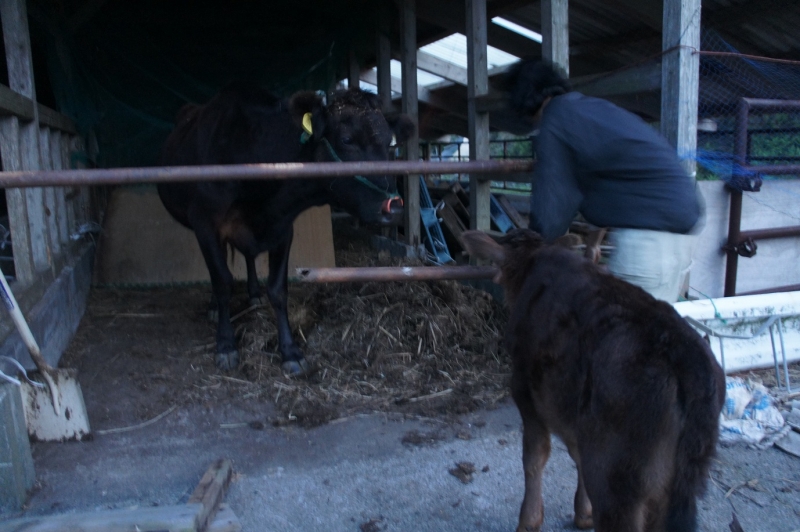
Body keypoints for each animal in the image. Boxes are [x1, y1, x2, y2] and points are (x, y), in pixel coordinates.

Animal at [160, 84, 416, 374]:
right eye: (347, 139)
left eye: (390, 144)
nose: (395, 208)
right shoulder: (206, 225)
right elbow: (223, 282)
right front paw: (225, 345)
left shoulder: (282, 228)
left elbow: (278, 290)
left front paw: (290, 351)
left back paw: (253, 293)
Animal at [460, 230, 728, 532]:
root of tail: (686, 357)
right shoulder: (575, 415)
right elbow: (575, 455)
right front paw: (583, 512)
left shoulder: (525, 391)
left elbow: (534, 457)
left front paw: (529, 520)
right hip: (672, 483)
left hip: (616, 476)